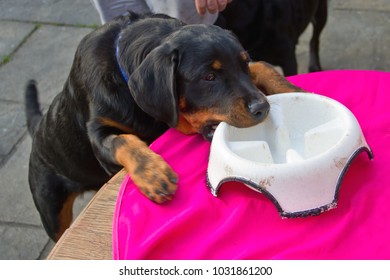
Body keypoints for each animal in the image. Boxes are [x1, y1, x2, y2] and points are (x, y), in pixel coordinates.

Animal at [24, 12, 302, 241]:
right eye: (209, 77)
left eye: (243, 63)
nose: (261, 108)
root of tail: (37, 133)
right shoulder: (98, 133)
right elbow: (121, 140)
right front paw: (153, 174)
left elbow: (261, 66)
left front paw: (291, 88)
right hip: (51, 206)